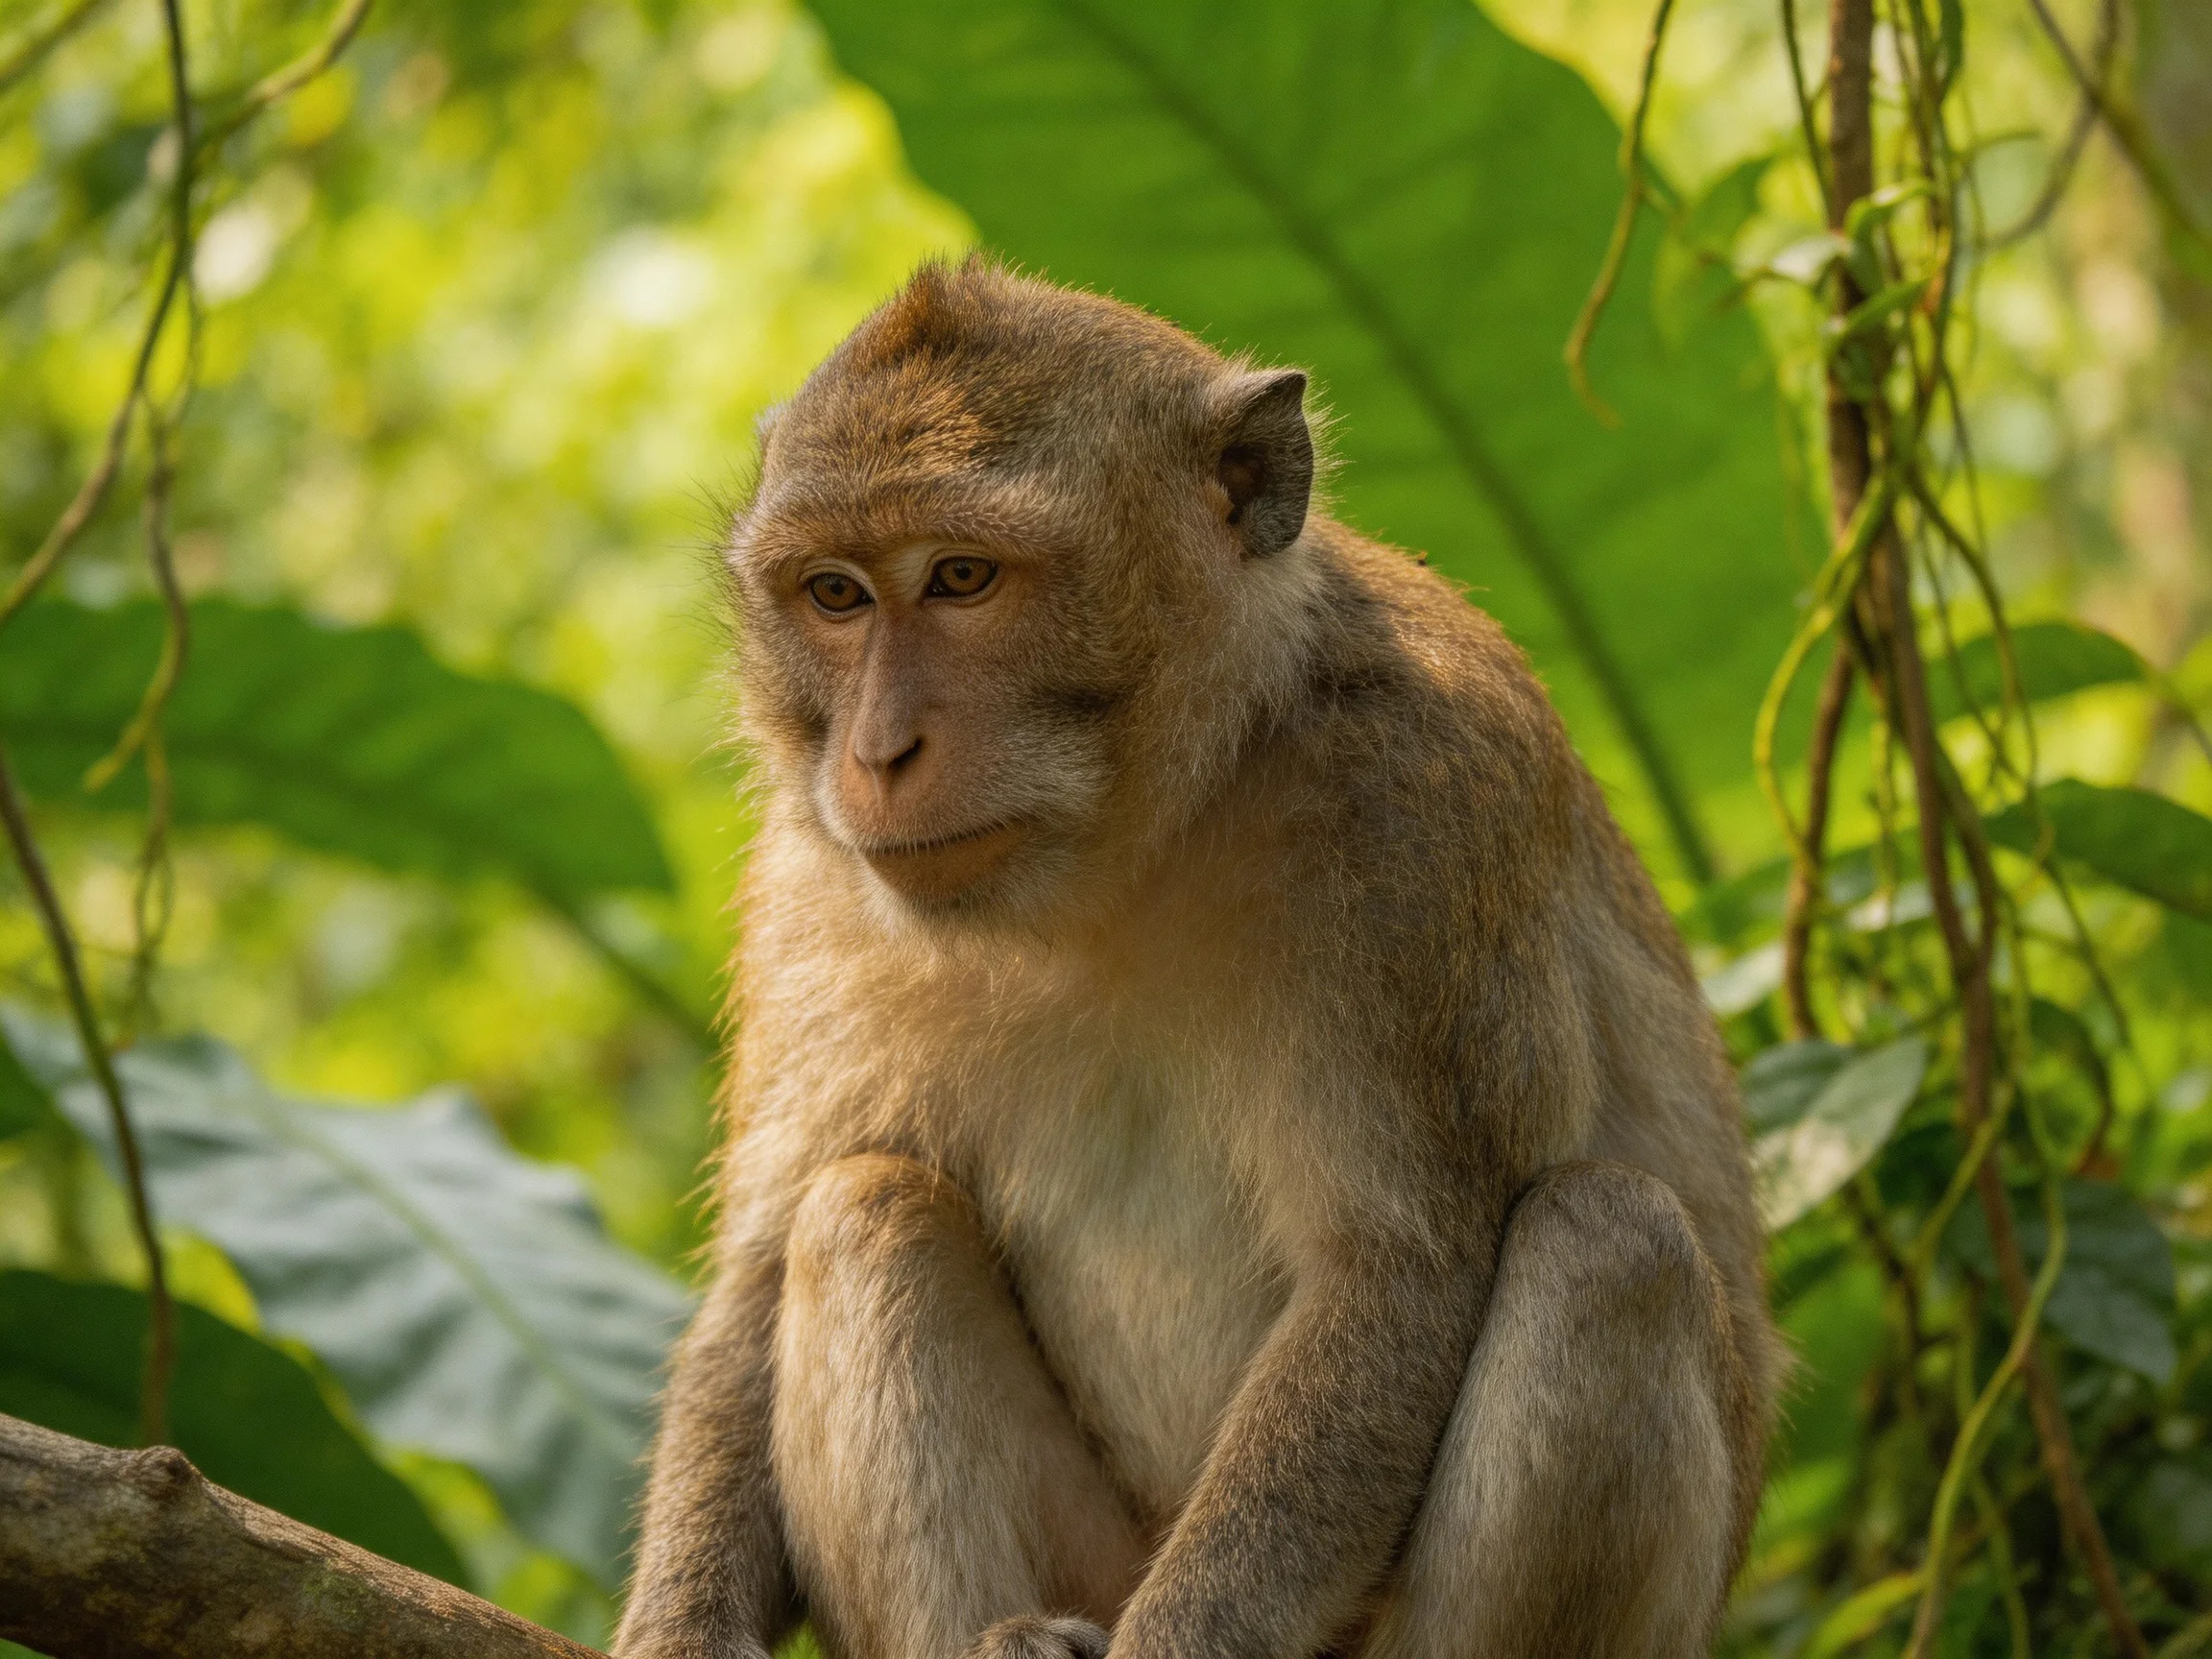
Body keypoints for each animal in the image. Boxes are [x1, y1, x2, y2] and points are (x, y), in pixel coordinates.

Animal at [614, 259, 1779, 1659]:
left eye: (962, 577)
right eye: (834, 594)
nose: (879, 752)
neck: (1136, 838)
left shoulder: (1423, 799)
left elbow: (1397, 1265)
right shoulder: (809, 874)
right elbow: (757, 1276)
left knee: (1607, 1241)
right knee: (861, 1212)